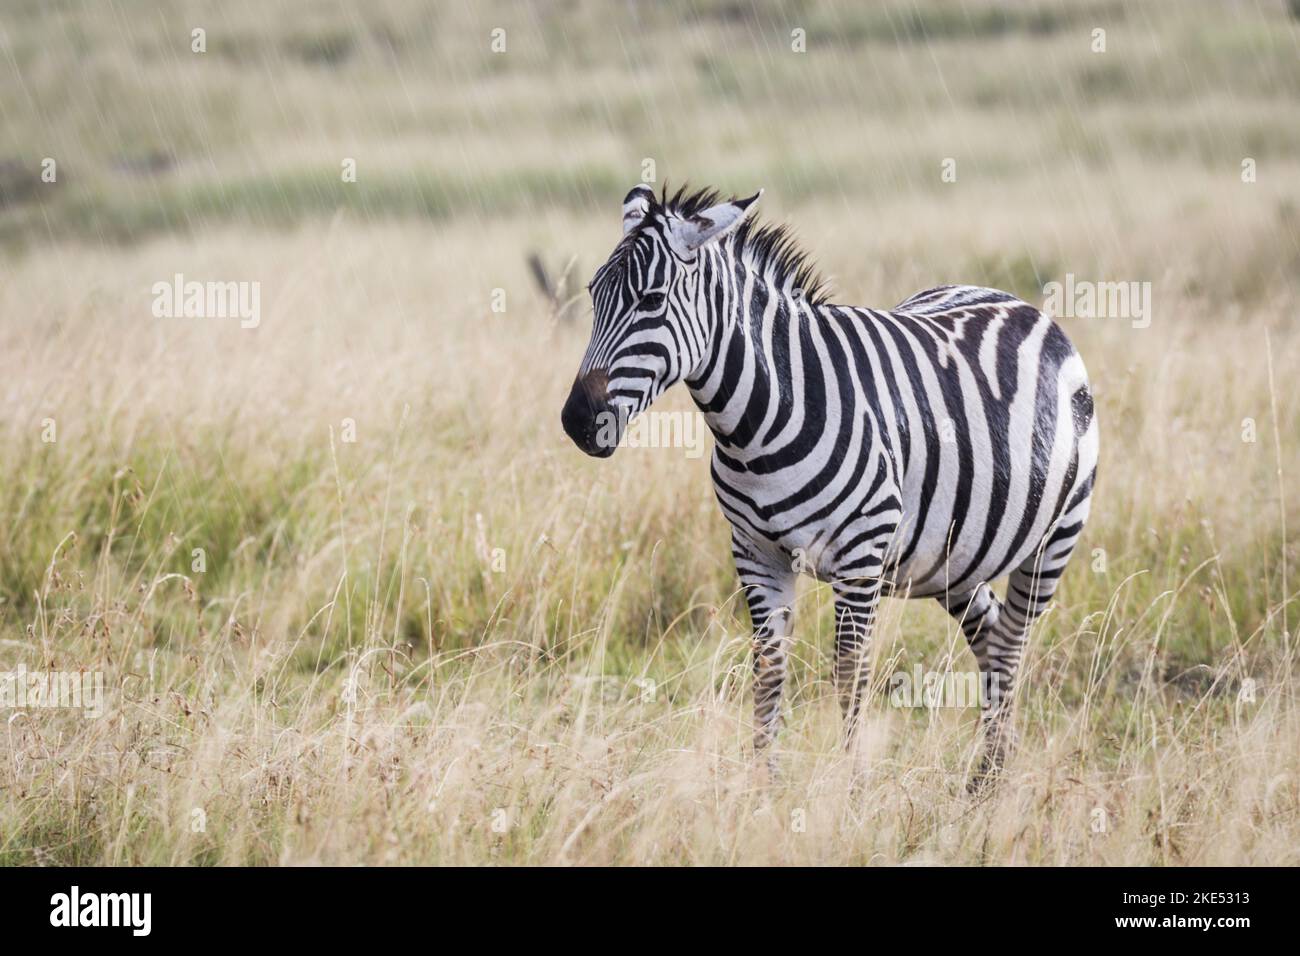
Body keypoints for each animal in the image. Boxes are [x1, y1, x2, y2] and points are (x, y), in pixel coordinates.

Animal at [559, 187, 1097, 790]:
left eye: (651, 300)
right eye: (593, 294)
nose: (577, 421)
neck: (756, 425)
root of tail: (1012, 300)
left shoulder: (861, 554)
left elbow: (849, 671)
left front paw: (849, 790)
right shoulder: (754, 552)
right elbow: (768, 668)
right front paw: (762, 788)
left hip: (1054, 538)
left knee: (1011, 642)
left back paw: (992, 780)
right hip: (954, 556)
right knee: (989, 633)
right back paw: (986, 776)